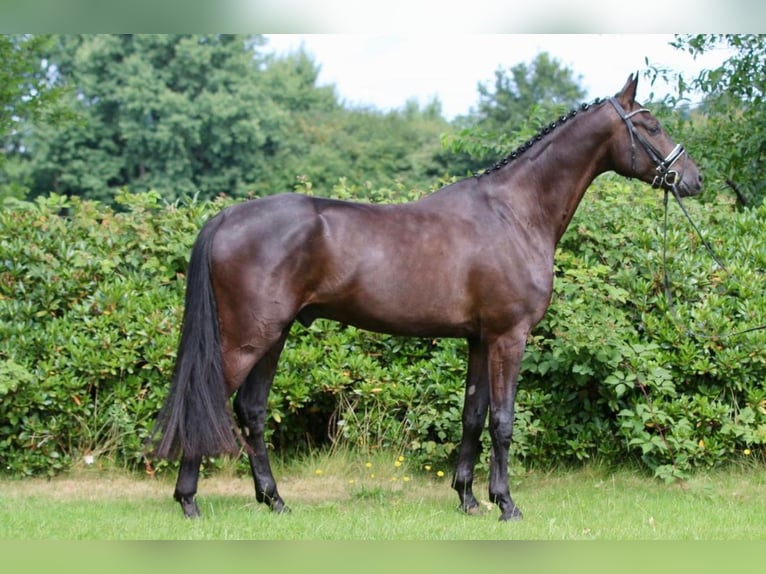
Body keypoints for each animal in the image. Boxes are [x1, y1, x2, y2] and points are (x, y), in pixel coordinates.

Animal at [151, 74, 702, 521]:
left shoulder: (480, 340)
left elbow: (473, 416)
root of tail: (226, 216)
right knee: (210, 400)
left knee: (252, 409)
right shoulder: (509, 337)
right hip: (248, 338)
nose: (692, 179)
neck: (515, 213)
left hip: (275, 335)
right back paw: (189, 501)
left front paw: (468, 499)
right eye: (651, 125)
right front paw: (506, 504)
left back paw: (275, 500)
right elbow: (503, 421)